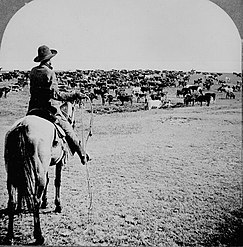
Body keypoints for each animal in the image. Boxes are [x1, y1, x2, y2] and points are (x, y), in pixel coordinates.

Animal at [3, 99, 80, 244]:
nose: (73, 122)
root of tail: (22, 126)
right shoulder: (58, 163)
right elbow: (57, 181)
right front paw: (58, 205)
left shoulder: (46, 166)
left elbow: (49, 180)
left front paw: (46, 202)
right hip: (38, 174)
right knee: (35, 200)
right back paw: (39, 236)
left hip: (12, 173)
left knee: (11, 202)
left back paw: (9, 236)